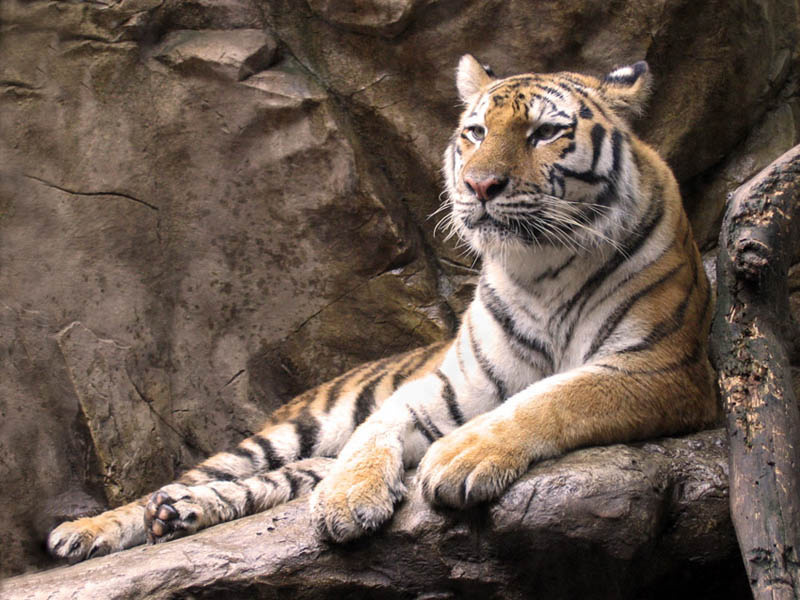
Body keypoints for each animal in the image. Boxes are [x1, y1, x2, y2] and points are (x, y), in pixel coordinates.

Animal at [47, 54, 719, 561]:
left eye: (546, 133)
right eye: (476, 132)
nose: (479, 186)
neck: (540, 269)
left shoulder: (660, 368)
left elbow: (555, 395)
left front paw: (461, 455)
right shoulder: (449, 385)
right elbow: (379, 428)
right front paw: (349, 498)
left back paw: (179, 516)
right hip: (290, 430)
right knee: (194, 477)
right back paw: (90, 529)